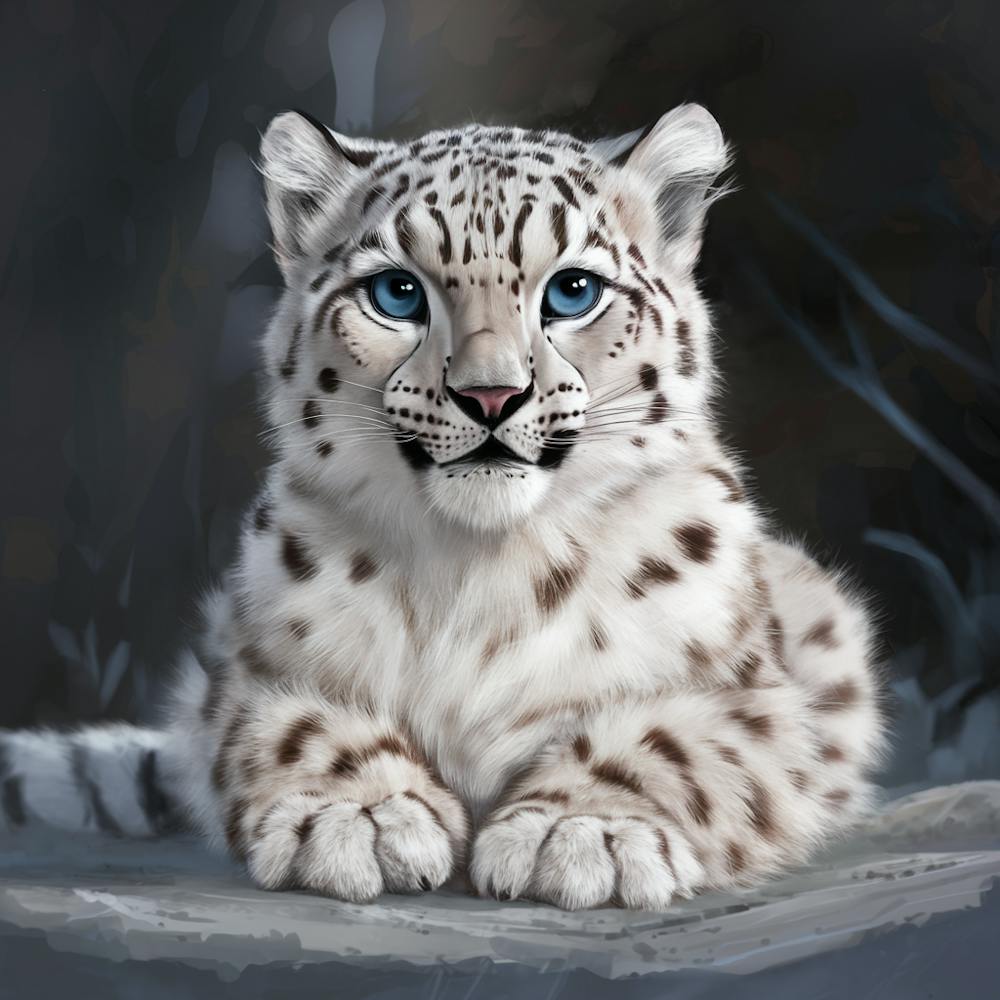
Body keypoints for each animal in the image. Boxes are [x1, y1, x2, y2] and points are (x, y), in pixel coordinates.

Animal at [0, 104, 886, 910]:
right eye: (397, 293)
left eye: (573, 290)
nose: (490, 395)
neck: (483, 567)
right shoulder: (250, 671)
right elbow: (296, 725)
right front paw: (357, 817)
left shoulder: (757, 696)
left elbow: (671, 739)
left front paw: (582, 831)